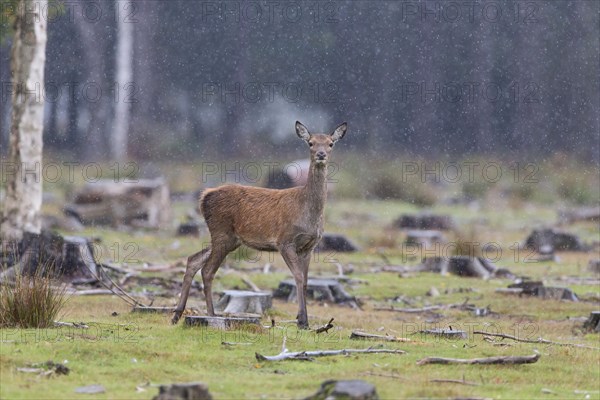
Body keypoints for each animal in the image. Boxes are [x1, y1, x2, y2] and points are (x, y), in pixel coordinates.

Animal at [171, 122, 350, 328]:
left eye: (330, 144)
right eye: (311, 143)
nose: (321, 154)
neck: (308, 212)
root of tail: (204, 197)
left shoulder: (309, 246)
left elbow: (306, 281)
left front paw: (303, 320)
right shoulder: (284, 241)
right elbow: (297, 276)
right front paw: (302, 321)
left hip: (231, 239)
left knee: (193, 260)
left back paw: (177, 314)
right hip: (221, 231)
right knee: (207, 270)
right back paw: (212, 315)